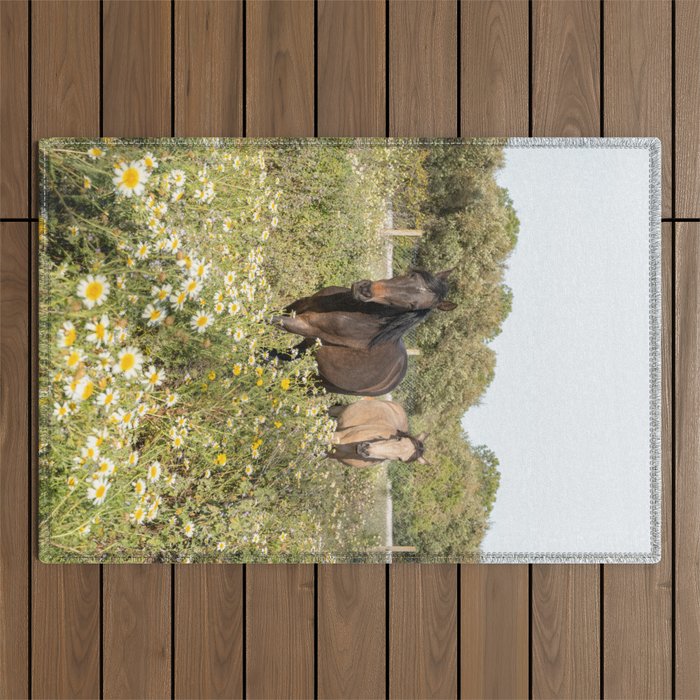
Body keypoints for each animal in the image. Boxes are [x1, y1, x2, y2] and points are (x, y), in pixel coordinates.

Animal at [271, 269, 456, 396]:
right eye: (412, 276)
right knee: (286, 355)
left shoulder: (306, 325)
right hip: (310, 347)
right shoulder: (302, 304)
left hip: (322, 382)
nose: (365, 290)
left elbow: (270, 318)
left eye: (412, 306)